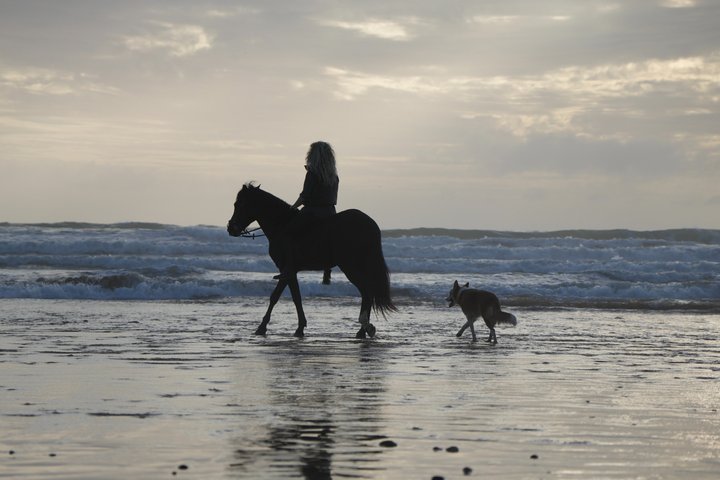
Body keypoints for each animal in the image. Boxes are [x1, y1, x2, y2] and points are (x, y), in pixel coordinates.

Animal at [227, 183, 396, 338]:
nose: (230, 228)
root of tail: (370, 224)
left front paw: (262, 327)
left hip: (351, 267)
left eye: (239, 204)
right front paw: (300, 328)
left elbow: (275, 297)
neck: (281, 224)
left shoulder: (286, 269)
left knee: (367, 292)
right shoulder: (291, 271)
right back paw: (363, 330)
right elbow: (296, 297)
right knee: (367, 293)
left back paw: (364, 329)